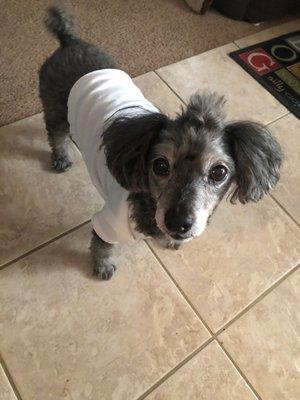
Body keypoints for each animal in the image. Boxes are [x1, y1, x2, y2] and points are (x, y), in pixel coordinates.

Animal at [38, 7, 282, 282]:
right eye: (160, 165)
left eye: (219, 172)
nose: (178, 223)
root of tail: (68, 41)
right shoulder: (108, 222)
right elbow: (101, 245)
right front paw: (102, 266)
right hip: (56, 110)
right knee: (56, 135)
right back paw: (61, 157)